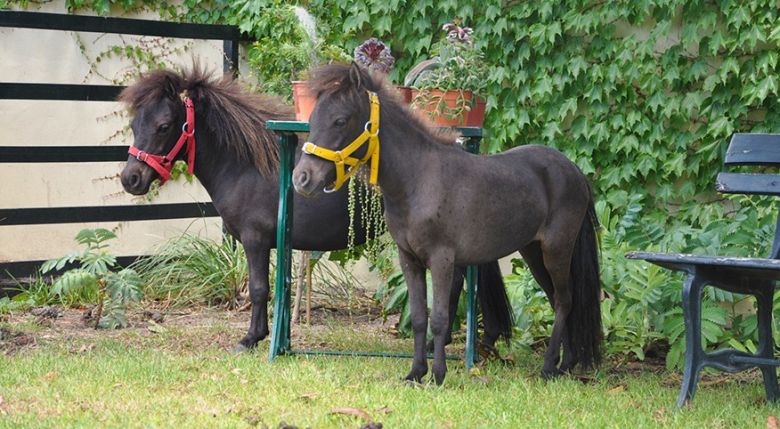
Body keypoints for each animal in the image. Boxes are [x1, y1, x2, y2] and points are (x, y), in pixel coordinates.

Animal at [119, 66, 516, 352]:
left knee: (456, 285)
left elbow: (259, 288)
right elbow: (277, 289)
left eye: (164, 126)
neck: (246, 165)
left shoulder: (255, 240)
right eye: (135, 123)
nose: (130, 178)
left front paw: (250, 339)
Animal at [292, 64, 604, 384]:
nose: (302, 178)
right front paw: (416, 372)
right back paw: (566, 363)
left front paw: (438, 375)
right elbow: (419, 317)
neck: (417, 180)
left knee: (565, 300)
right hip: (533, 252)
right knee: (558, 300)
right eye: (313, 120)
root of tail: (574, 169)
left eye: (340, 120)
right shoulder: (410, 260)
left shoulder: (441, 260)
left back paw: (549, 366)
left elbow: (440, 318)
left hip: (556, 250)